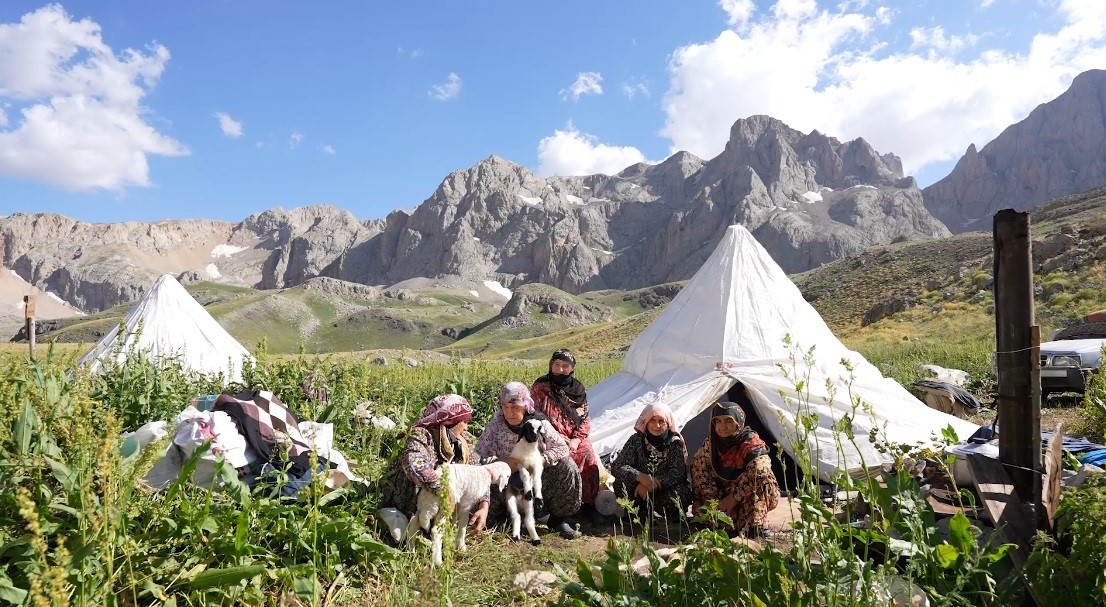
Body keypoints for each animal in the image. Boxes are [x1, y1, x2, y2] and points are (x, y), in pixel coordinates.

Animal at [506, 415, 546, 543]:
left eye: (539, 428)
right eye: (527, 428)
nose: (534, 437)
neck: (528, 450)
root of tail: (519, 499)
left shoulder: (537, 466)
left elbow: (537, 480)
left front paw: (539, 499)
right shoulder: (520, 465)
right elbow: (525, 476)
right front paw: (528, 491)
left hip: (528, 505)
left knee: (528, 519)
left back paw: (536, 539)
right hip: (510, 498)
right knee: (516, 516)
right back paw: (516, 536)